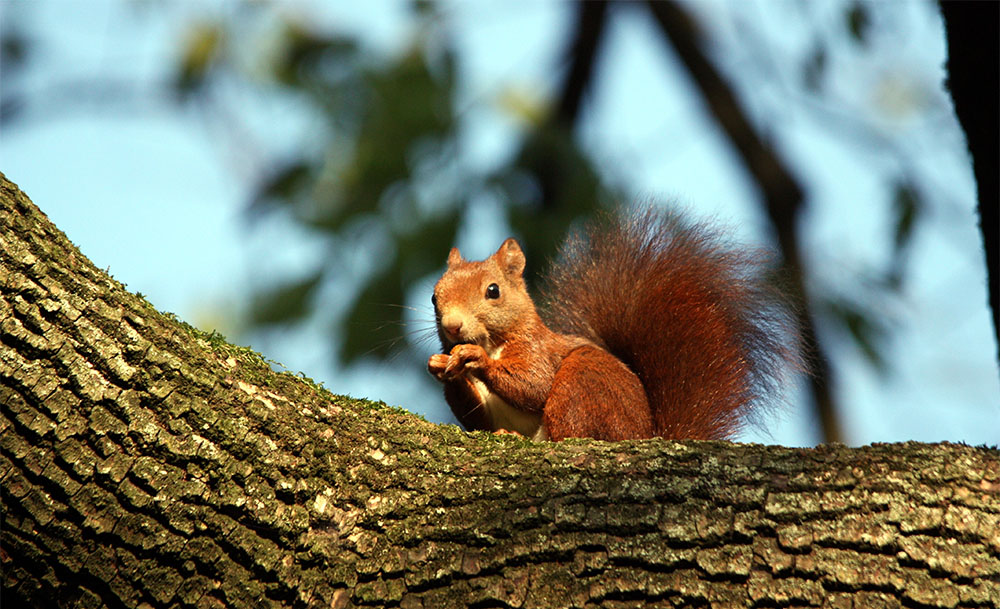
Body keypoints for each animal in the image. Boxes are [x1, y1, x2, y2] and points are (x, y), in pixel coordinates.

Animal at [426, 207, 800, 440]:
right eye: (433, 297)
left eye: (493, 291)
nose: (453, 326)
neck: (496, 342)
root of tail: (647, 434)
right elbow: (476, 418)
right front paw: (441, 365)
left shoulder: (538, 350)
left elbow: (534, 385)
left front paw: (474, 358)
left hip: (583, 384)